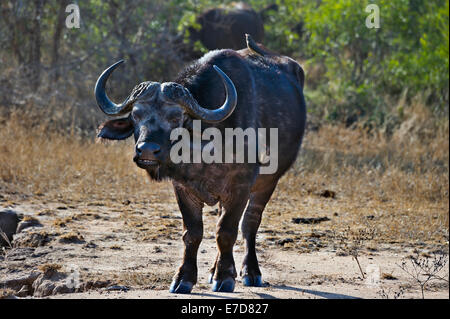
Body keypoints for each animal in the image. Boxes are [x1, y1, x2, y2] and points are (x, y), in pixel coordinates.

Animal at [94, 35, 306, 296]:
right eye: (136, 115)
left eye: (176, 117)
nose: (147, 150)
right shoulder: (182, 189)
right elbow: (193, 233)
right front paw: (184, 278)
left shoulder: (240, 186)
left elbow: (226, 231)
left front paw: (225, 278)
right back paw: (213, 270)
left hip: (268, 182)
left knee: (249, 225)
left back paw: (250, 272)